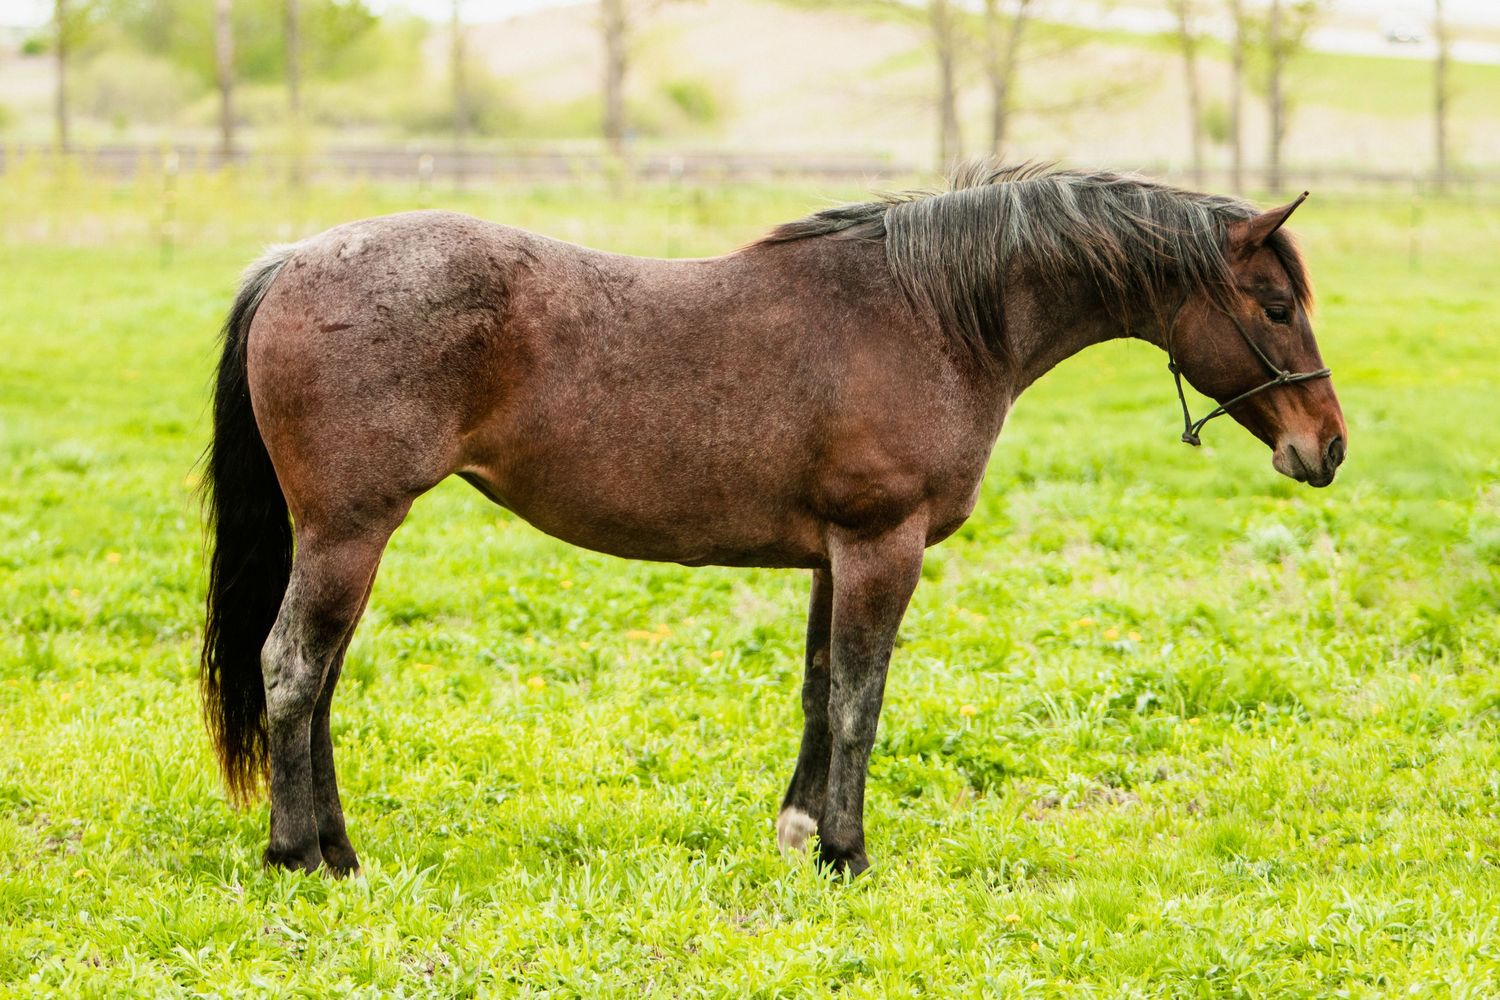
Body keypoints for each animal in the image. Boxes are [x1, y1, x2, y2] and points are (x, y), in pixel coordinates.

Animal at [200, 163, 1346, 877]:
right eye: (1275, 306)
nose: (1326, 447)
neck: (931, 315)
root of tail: (294, 258)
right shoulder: (882, 547)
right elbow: (860, 700)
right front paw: (848, 851)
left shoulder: (837, 555)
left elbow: (817, 690)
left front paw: (801, 832)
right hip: (350, 531)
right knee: (293, 672)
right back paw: (302, 856)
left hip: (349, 538)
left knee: (318, 680)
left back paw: (336, 846)